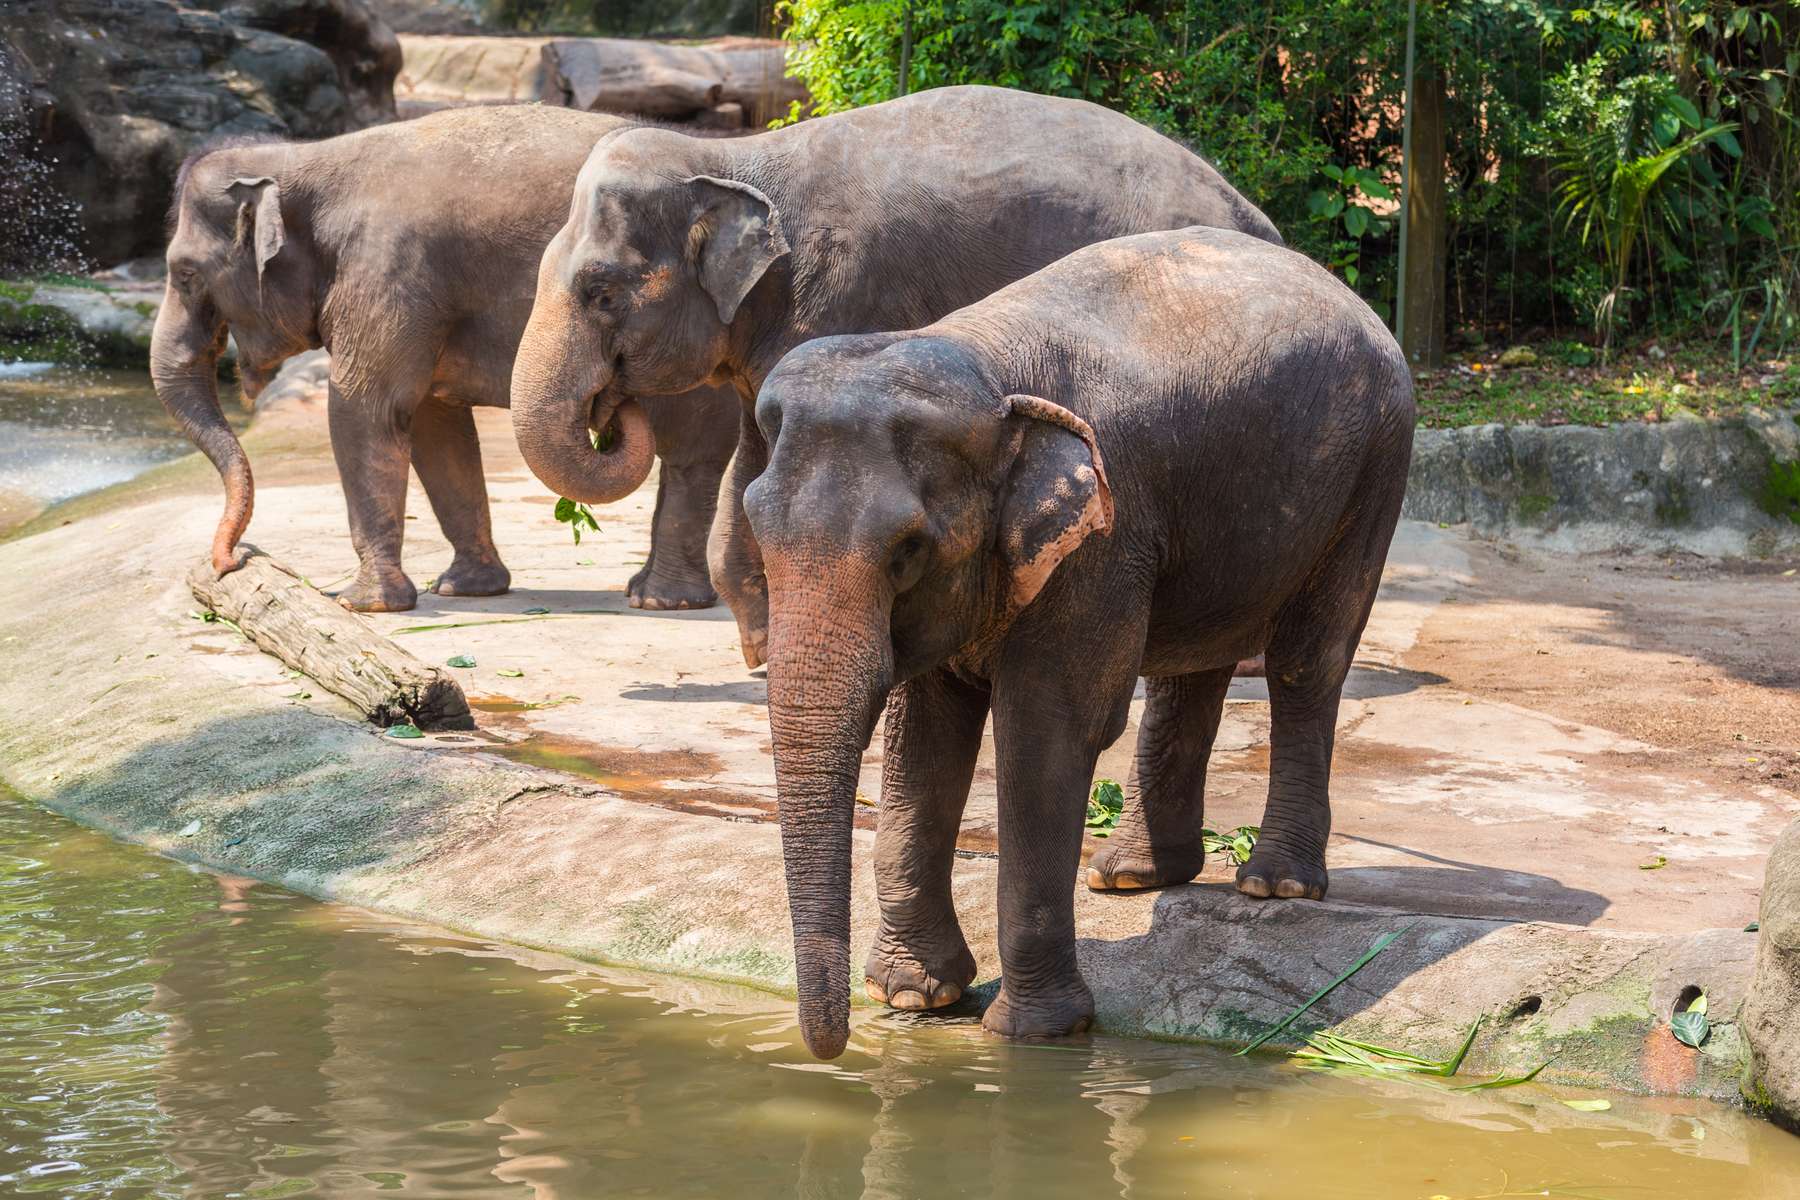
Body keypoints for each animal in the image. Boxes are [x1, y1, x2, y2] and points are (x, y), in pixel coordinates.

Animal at [154, 104, 738, 612]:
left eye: (184, 273)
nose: (231, 560)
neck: (300, 157)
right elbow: (436, 429)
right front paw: (465, 590)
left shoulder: (385, 275)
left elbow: (365, 412)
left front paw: (365, 605)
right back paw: (647, 591)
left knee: (691, 451)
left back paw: (662, 599)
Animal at [508, 84, 1282, 663]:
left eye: (601, 292)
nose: (611, 408)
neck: (738, 158)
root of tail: (1258, 217)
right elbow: (750, 475)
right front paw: (762, 652)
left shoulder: (840, 304)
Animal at [741, 227, 1415, 1058]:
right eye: (756, 528)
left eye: (907, 550)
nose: (830, 1050)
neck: (984, 365)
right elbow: (924, 732)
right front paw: (913, 996)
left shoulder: (1102, 534)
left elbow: (1049, 727)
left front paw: (1035, 1034)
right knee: (1192, 663)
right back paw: (1131, 876)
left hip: (1375, 466)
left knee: (1307, 660)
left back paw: (1274, 885)